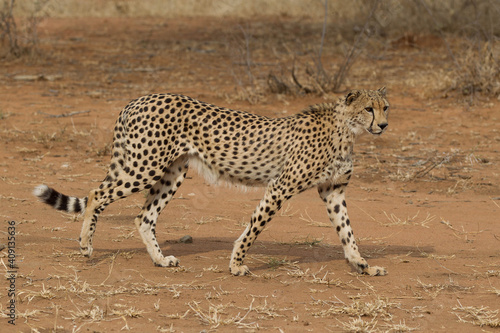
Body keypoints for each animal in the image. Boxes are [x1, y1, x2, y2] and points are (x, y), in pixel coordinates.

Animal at [34, 87, 390, 274]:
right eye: (368, 109)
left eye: (385, 107)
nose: (384, 125)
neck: (346, 130)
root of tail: (139, 98)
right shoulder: (279, 187)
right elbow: (254, 228)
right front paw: (236, 264)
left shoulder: (333, 191)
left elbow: (347, 231)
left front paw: (362, 264)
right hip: (143, 166)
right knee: (97, 193)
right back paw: (85, 245)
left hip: (172, 172)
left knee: (143, 217)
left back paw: (160, 259)